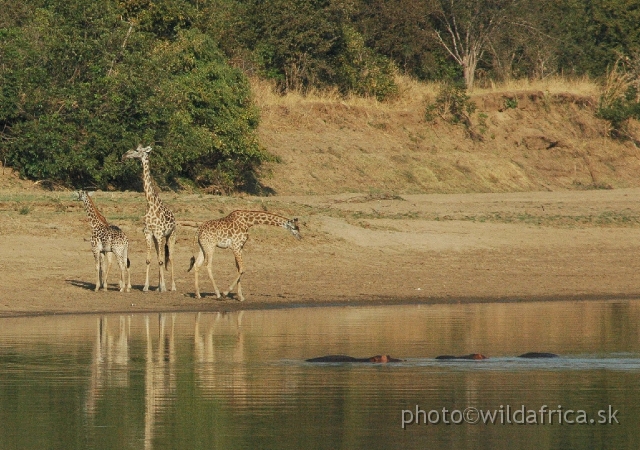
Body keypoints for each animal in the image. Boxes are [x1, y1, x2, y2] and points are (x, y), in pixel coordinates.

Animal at [122, 144, 176, 292]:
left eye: (137, 150)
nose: (124, 155)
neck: (150, 203)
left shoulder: (159, 233)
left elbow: (162, 260)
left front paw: (164, 288)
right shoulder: (148, 233)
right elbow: (149, 259)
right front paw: (146, 287)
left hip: (171, 236)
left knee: (170, 258)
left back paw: (172, 286)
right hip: (158, 238)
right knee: (159, 256)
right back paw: (158, 286)